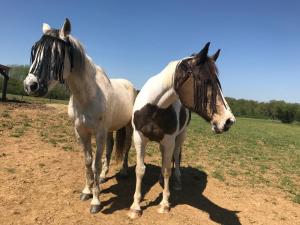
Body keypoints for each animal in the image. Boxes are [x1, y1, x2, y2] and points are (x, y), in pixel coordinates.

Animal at [23, 18, 137, 214]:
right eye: (35, 50)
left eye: (56, 54)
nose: (31, 85)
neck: (87, 95)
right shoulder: (81, 132)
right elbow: (88, 161)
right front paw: (87, 191)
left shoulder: (98, 133)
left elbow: (96, 163)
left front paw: (96, 201)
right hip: (109, 130)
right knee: (110, 148)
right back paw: (104, 176)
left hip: (127, 127)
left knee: (127, 146)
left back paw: (123, 172)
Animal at [127, 42, 236, 218]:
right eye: (206, 81)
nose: (228, 121)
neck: (154, 108)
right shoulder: (139, 138)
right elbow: (140, 170)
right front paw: (135, 207)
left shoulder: (169, 140)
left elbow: (167, 170)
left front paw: (164, 203)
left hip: (179, 138)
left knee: (176, 158)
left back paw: (176, 183)